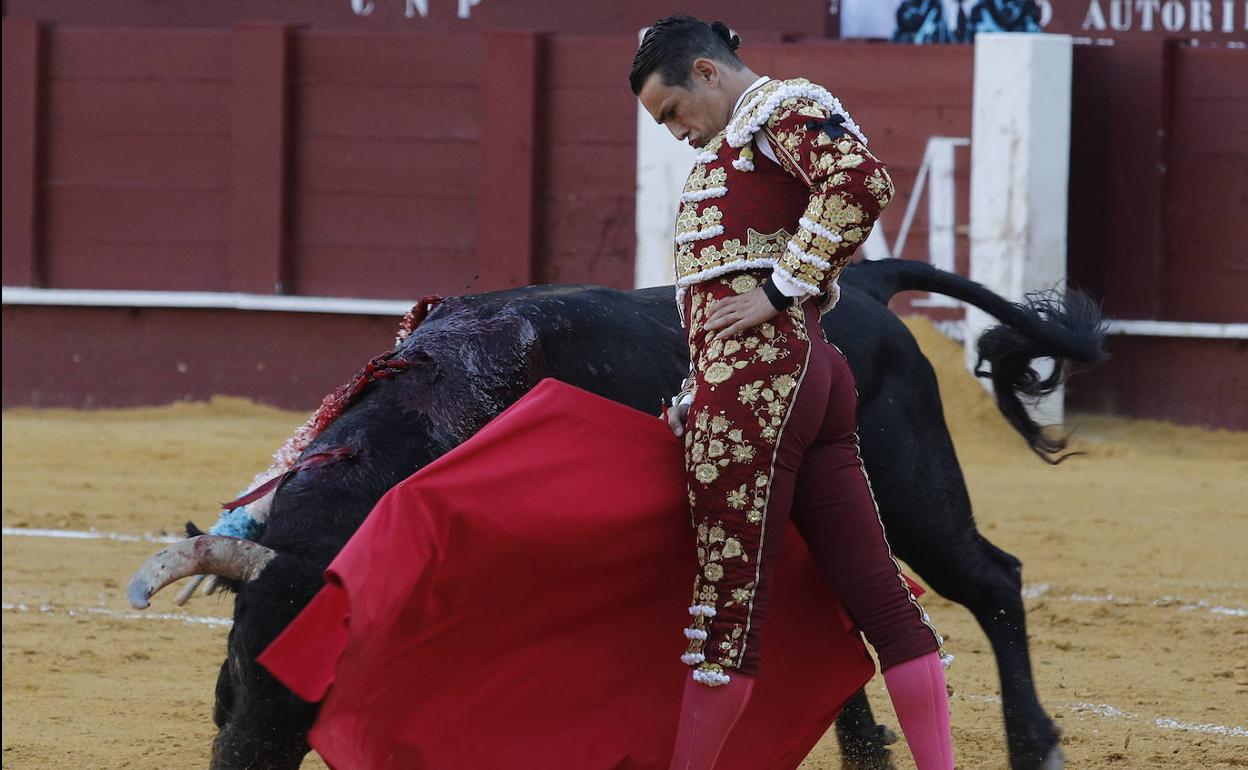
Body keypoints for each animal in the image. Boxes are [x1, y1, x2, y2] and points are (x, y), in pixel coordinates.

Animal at [129, 258, 1103, 768]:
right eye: (238, 660)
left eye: (325, 676)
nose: (242, 760)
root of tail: (859, 286)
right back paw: (865, 752)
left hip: (911, 496)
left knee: (992, 581)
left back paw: (1035, 744)